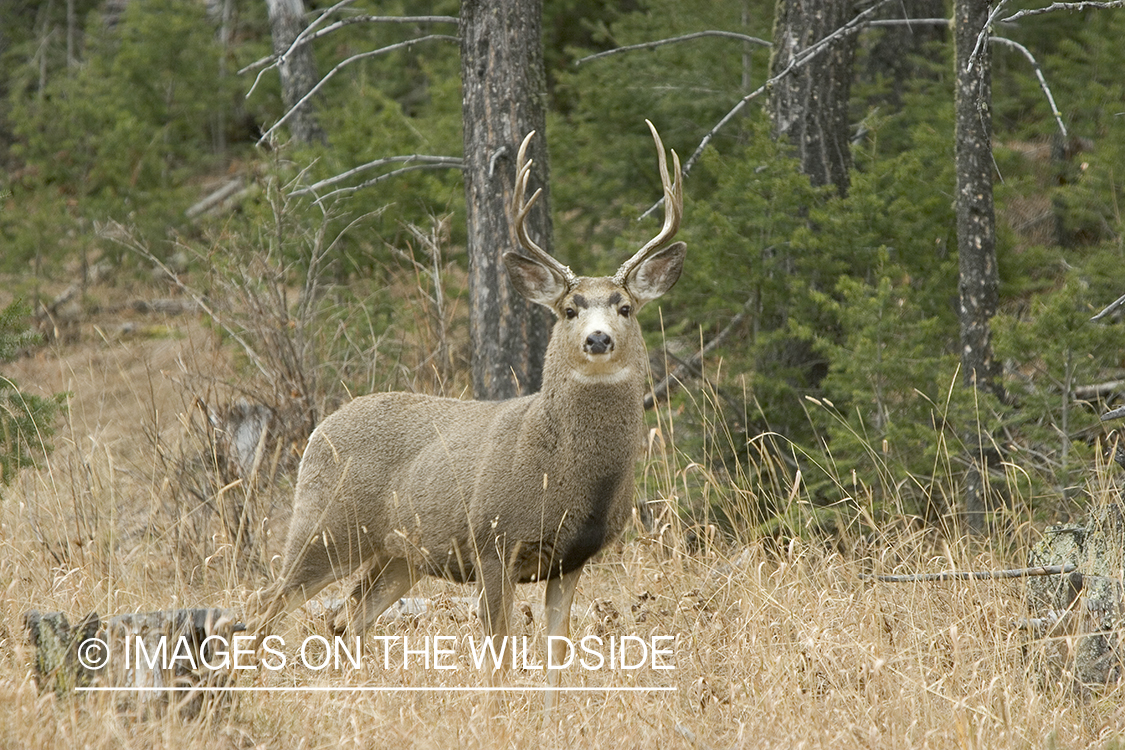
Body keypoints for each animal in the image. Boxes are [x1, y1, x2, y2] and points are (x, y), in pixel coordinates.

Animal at [249, 120, 679, 701]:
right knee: (266, 604)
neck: (566, 473)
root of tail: (320, 430)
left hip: (399, 555)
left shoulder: (571, 560)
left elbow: (557, 657)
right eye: (569, 309)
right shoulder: (492, 541)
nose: (597, 338)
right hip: (326, 525)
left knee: (347, 617)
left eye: (625, 307)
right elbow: (497, 654)